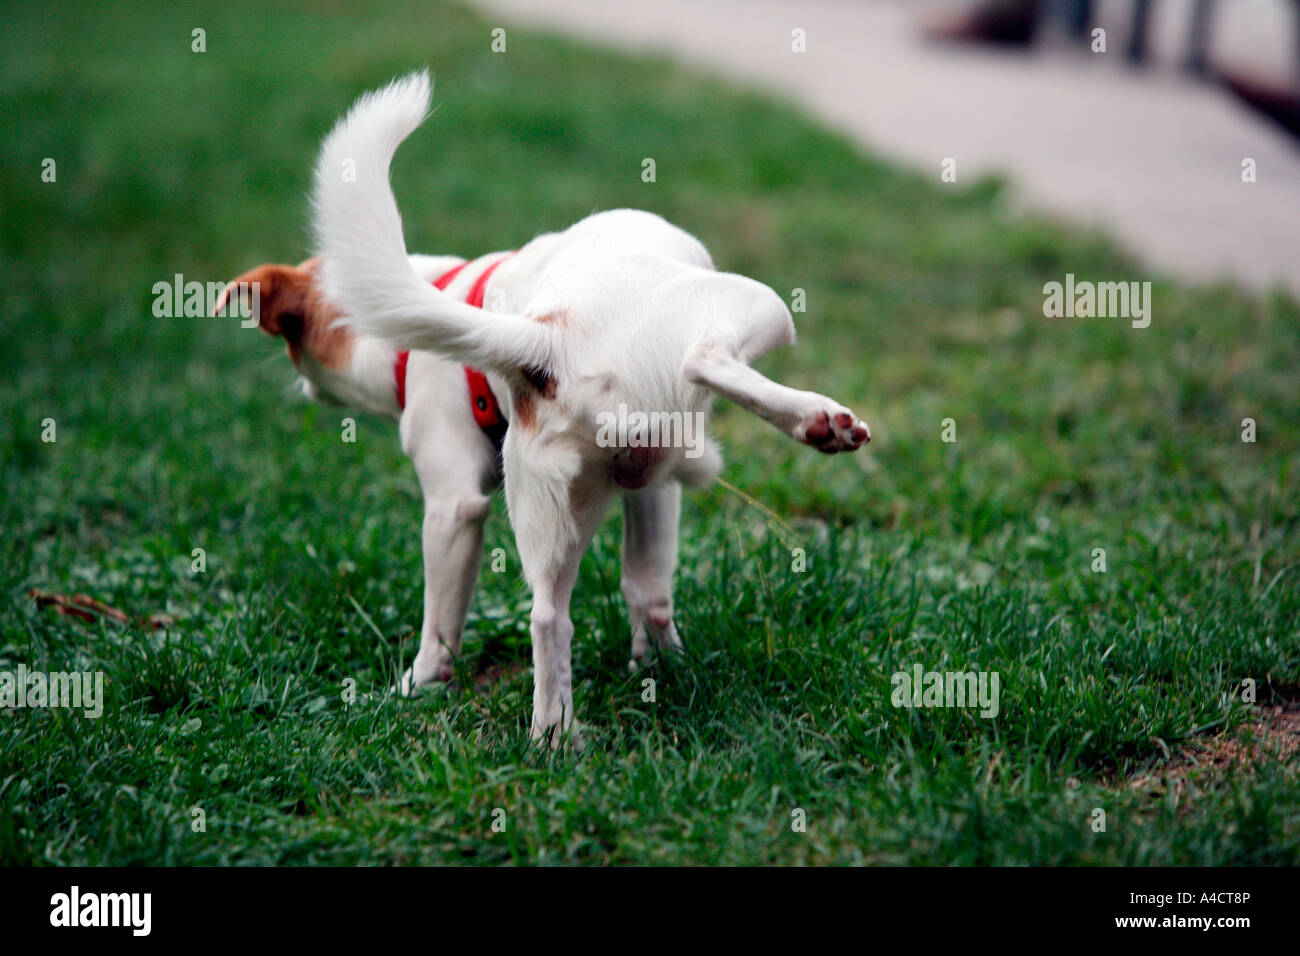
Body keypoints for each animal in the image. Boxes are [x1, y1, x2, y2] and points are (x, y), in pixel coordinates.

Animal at [228, 74, 868, 749]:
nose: (302, 389)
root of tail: (545, 338)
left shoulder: (631, 489)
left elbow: (643, 588)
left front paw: (659, 665)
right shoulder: (484, 501)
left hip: (547, 504)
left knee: (547, 619)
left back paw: (553, 735)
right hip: (755, 306)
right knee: (705, 359)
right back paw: (818, 420)